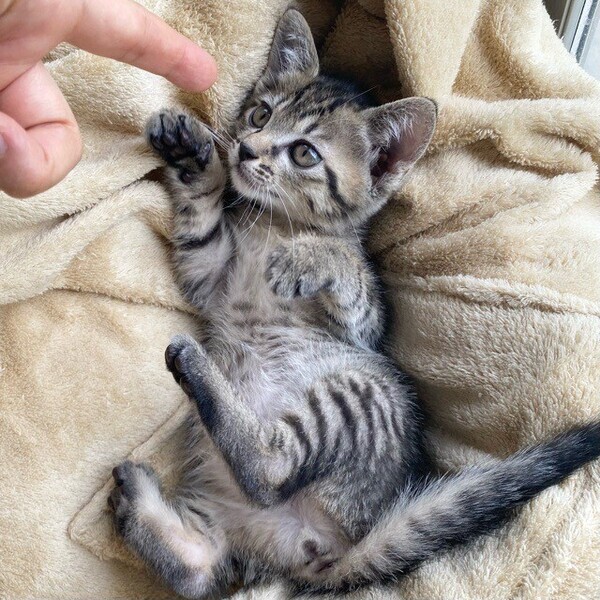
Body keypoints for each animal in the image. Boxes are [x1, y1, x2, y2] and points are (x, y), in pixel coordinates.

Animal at [109, 9, 600, 598]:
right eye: (259, 113)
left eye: (304, 152)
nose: (246, 148)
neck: (275, 225)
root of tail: (314, 560)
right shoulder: (209, 276)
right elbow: (201, 228)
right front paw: (193, 157)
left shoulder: (367, 327)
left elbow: (352, 276)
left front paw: (309, 258)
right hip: (222, 511)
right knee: (200, 570)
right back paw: (137, 498)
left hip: (362, 394)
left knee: (269, 472)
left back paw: (194, 366)